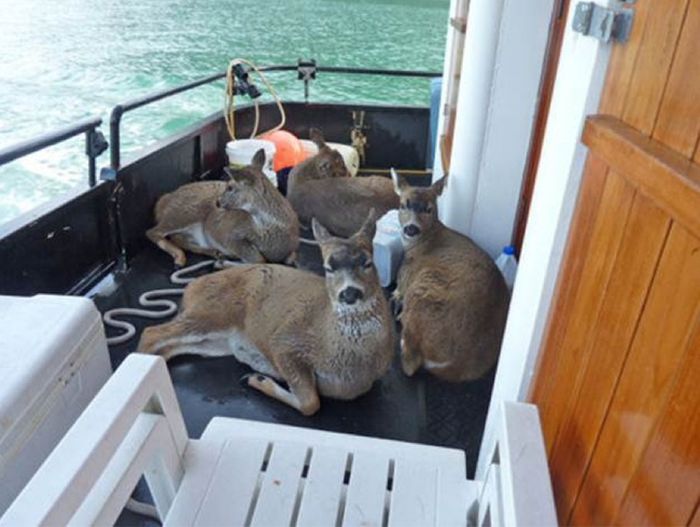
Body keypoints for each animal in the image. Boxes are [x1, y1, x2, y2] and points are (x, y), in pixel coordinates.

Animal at [138, 211, 394, 416]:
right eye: (328, 268)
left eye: (367, 262)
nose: (349, 293)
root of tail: (191, 287)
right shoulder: (285, 342)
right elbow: (311, 403)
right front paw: (259, 379)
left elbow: (310, 400)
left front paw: (260, 375)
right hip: (213, 311)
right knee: (151, 332)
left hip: (217, 343)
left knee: (170, 347)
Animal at [146, 148, 300, 268]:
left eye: (230, 187)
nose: (218, 202)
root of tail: (164, 200)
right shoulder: (231, 235)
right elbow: (259, 260)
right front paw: (223, 264)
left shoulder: (291, 248)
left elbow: (288, 258)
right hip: (187, 210)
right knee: (153, 232)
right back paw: (181, 258)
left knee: (177, 238)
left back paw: (212, 252)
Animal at [388, 170, 508, 384]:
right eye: (403, 204)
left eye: (429, 209)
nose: (411, 228)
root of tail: (456, 365)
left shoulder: (406, 275)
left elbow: (397, 290)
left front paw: (395, 299)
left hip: (423, 287)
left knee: (409, 361)